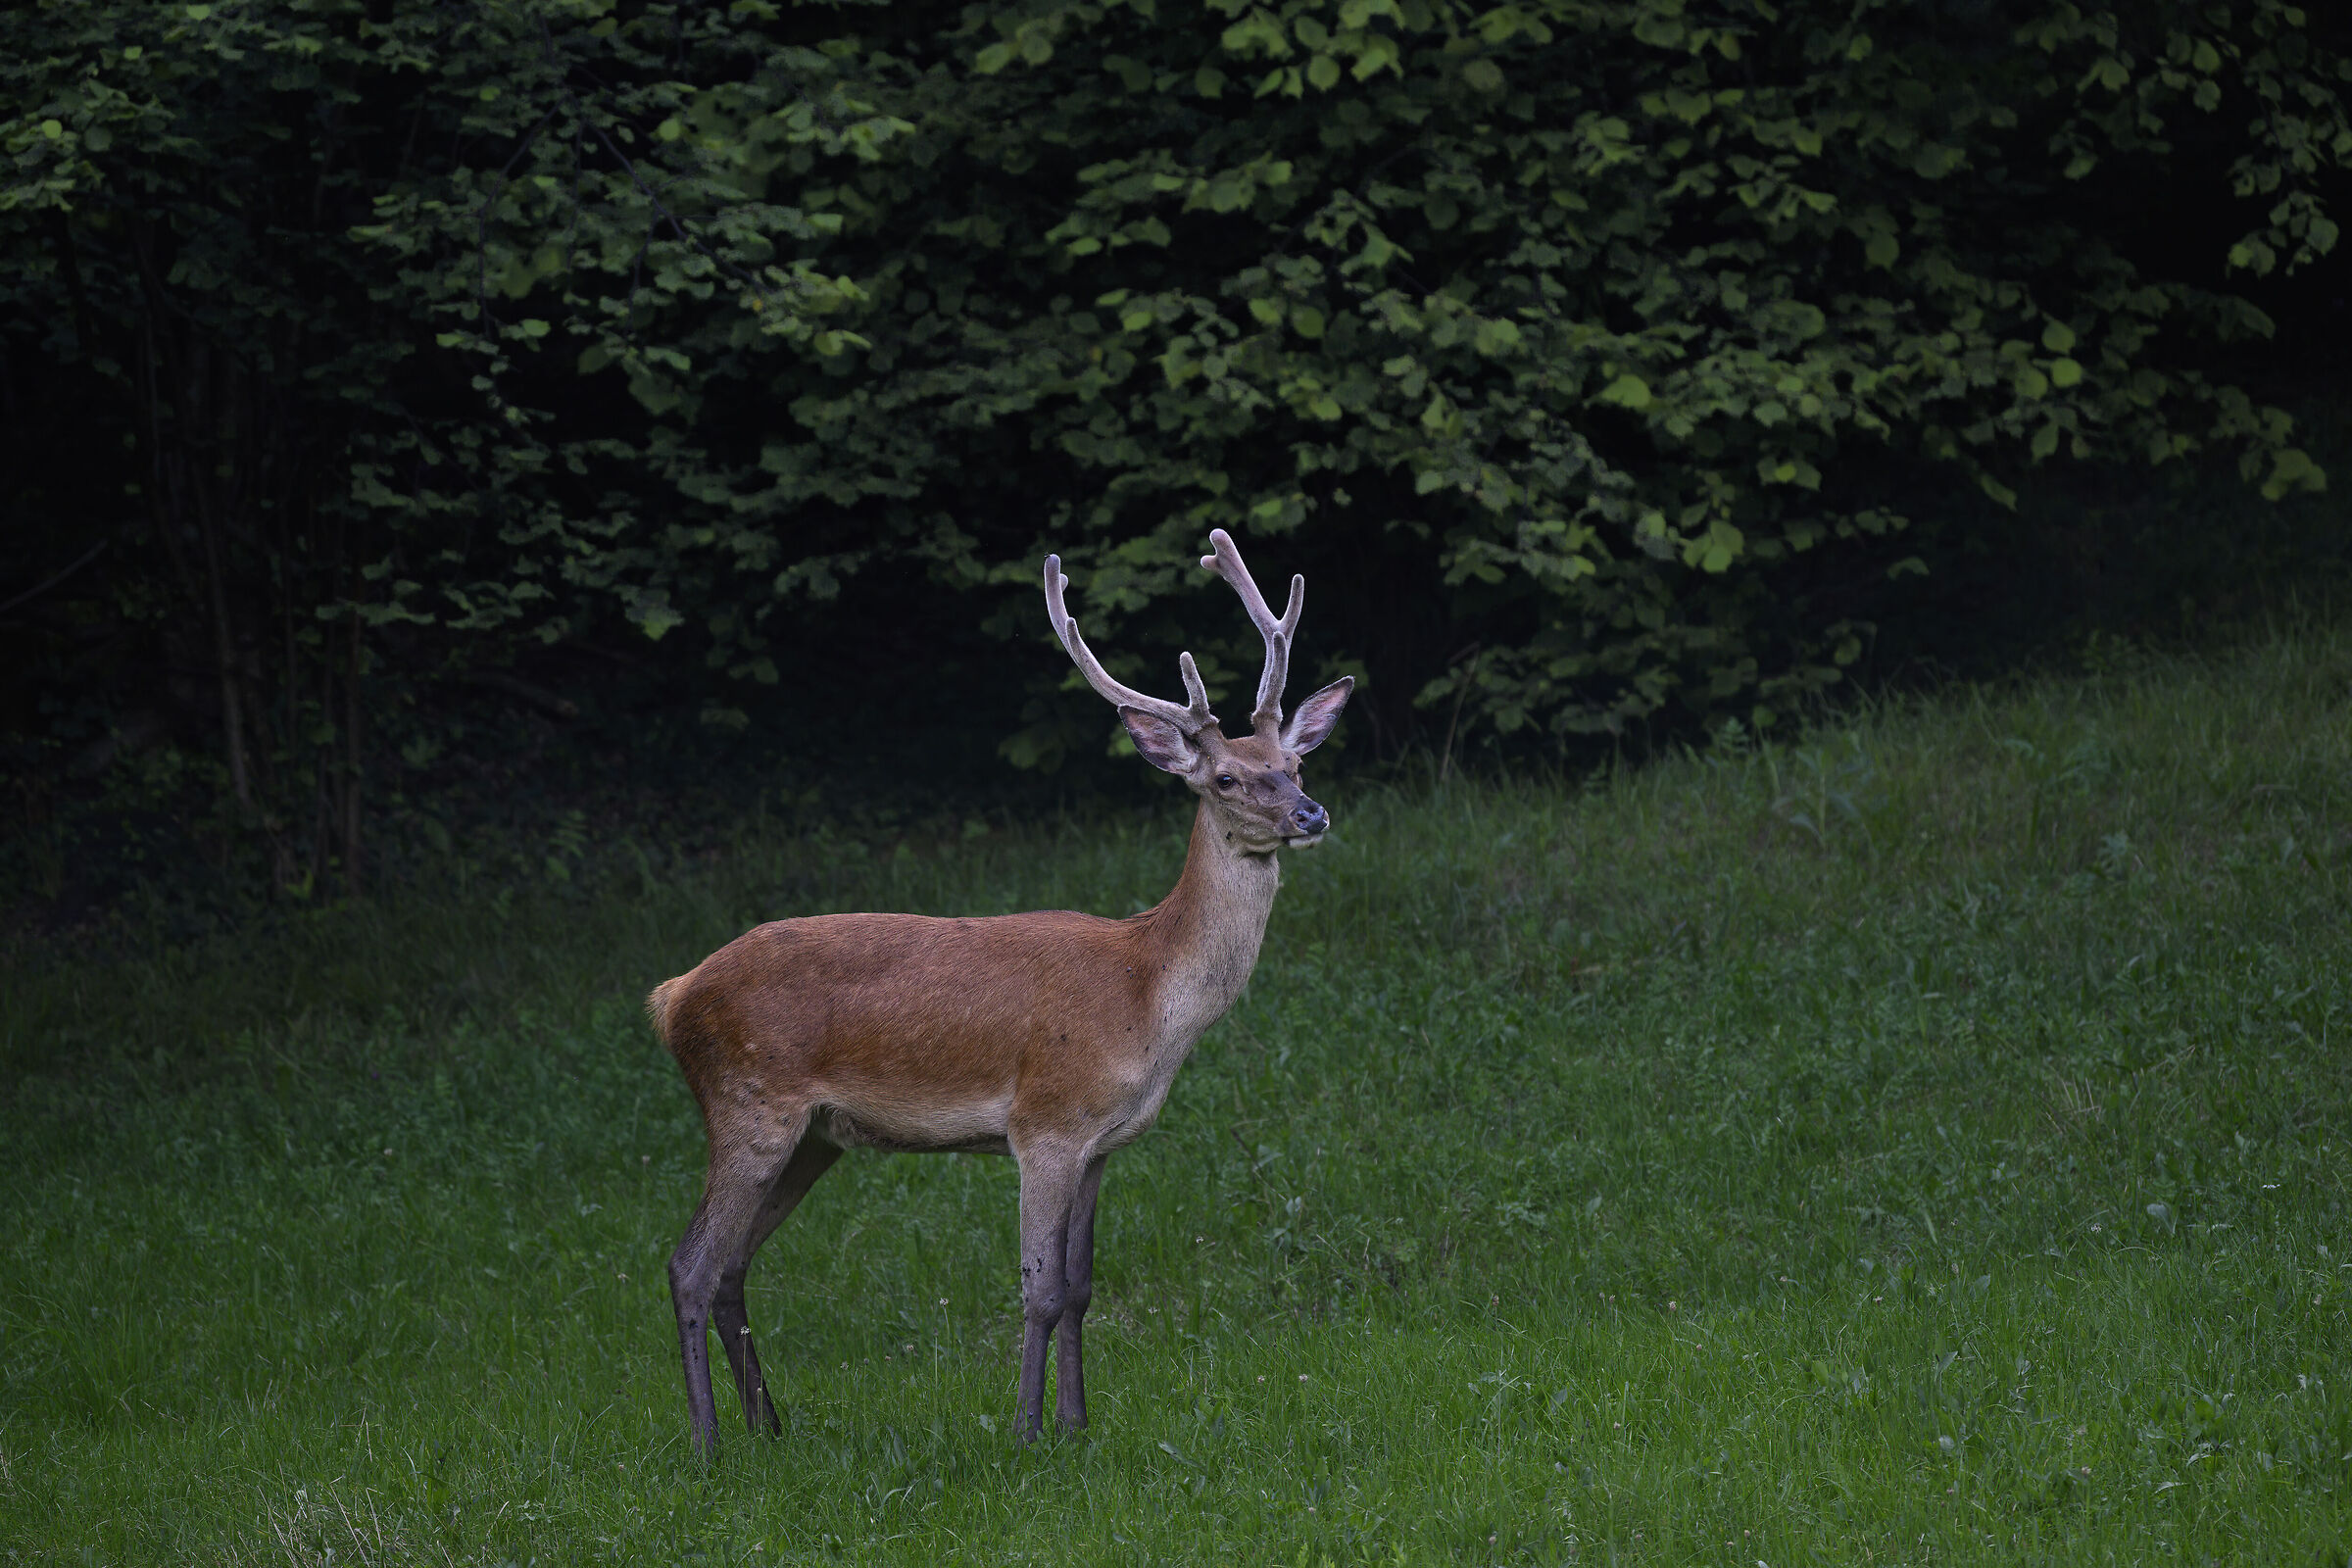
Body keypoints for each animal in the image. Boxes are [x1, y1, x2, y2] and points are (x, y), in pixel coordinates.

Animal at [645, 528, 1353, 1455]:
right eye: (1227, 778)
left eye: (1295, 761)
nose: (1311, 813)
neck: (1149, 996)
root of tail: (671, 996)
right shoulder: (1044, 1122)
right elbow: (1040, 1290)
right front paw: (1025, 1434)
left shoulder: (1103, 1143)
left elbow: (1082, 1289)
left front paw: (1079, 1425)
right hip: (747, 1102)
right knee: (690, 1265)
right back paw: (708, 1445)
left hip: (812, 1136)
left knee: (732, 1266)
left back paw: (770, 1428)